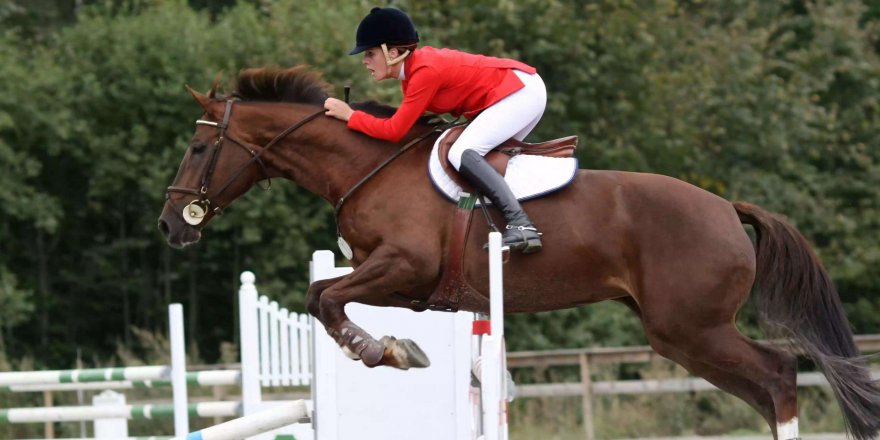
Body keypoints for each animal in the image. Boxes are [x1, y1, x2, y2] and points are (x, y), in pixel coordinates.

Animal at [160, 66, 880, 440]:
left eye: (197, 148)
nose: (171, 225)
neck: (365, 166)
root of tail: (728, 209)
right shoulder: (392, 276)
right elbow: (323, 294)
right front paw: (390, 347)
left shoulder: (402, 268)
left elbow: (324, 297)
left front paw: (386, 351)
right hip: (682, 336)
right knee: (765, 386)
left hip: (691, 326)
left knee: (778, 375)